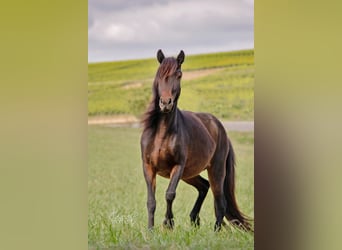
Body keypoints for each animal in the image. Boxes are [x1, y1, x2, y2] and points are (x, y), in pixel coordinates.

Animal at [140, 49, 252, 232]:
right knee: (204, 186)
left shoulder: (178, 166)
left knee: (220, 202)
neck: (162, 133)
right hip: (190, 174)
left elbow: (170, 194)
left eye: (179, 74)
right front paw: (151, 230)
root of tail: (219, 127)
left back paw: (215, 231)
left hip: (216, 170)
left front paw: (168, 223)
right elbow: (151, 201)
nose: (165, 103)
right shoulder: (148, 167)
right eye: (159, 74)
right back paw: (194, 219)